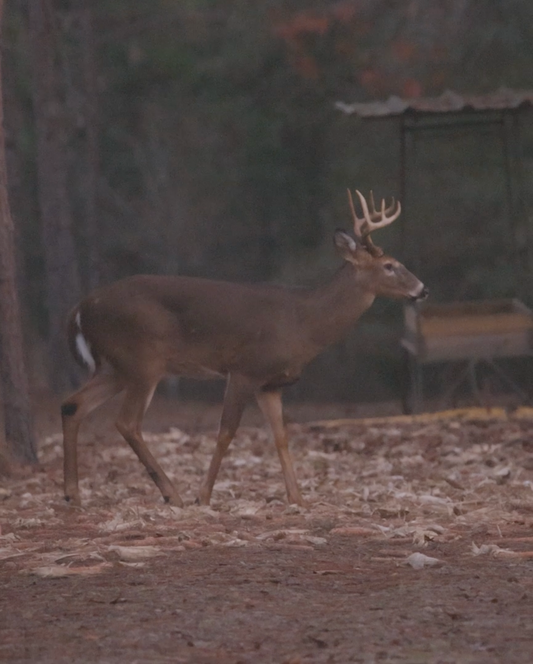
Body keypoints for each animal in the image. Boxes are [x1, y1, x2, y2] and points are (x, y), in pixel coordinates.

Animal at [61, 189, 428, 508]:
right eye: (390, 265)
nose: (423, 289)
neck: (304, 322)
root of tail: (80, 308)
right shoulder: (244, 369)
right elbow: (226, 432)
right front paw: (204, 496)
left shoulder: (271, 383)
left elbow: (280, 436)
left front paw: (298, 498)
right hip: (143, 360)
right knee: (127, 422)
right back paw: (172, 494)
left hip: (115, 366)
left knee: (73, 405)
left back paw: (72, 494)